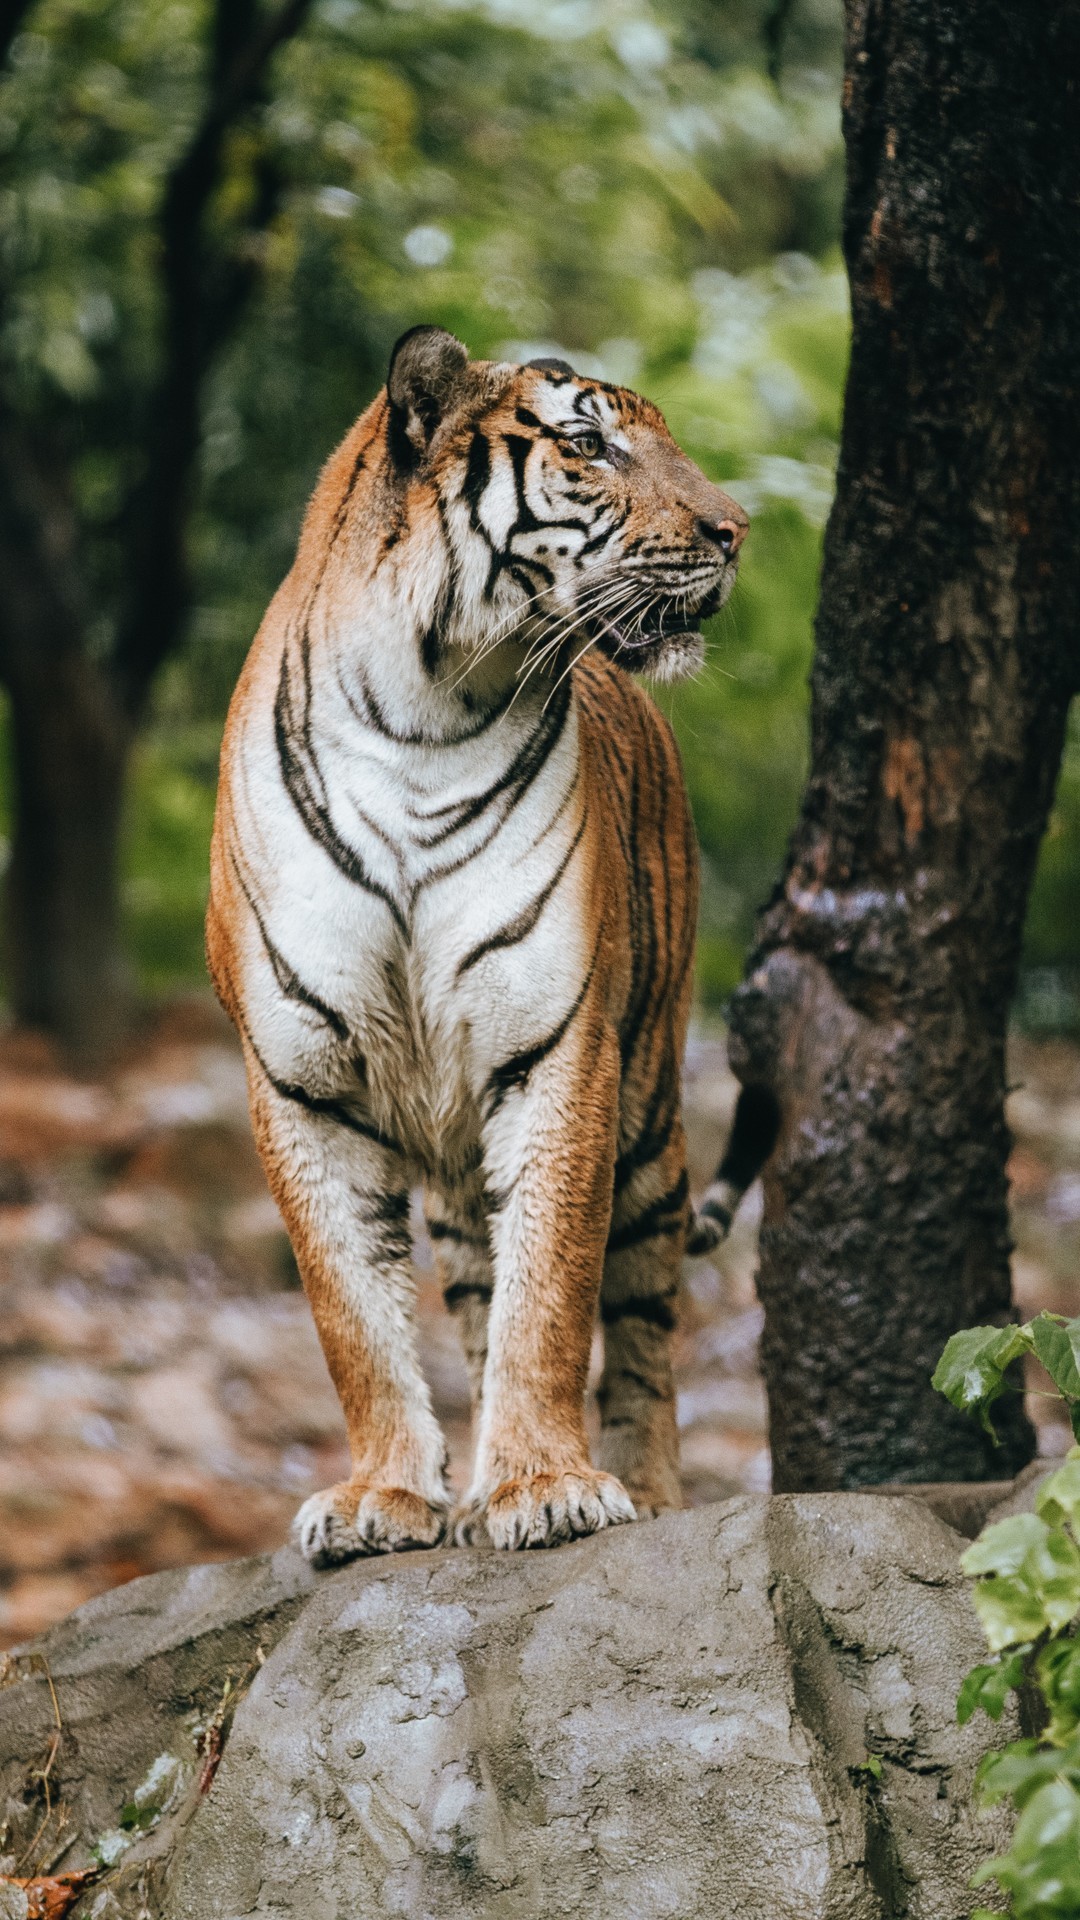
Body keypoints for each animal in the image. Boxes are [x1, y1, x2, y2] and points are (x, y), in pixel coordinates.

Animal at [205, 326, 745, 1559]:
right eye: (591, 446)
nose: (735, 529)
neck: (424, 711)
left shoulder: (560, 1052)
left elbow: (551, 1290)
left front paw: (546, 1486)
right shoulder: (298, 1082)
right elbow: (353, 1315)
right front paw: (387, 1495)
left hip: (651, 1110)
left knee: (643, 1321)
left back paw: (648, 1487)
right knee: (471, 1294)